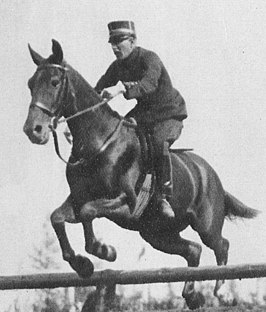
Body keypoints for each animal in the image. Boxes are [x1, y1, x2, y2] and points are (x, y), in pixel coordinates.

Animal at [23, 39, 260, 310]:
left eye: (54, 81)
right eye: (31, 84)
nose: (33, 130)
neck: (99, 143)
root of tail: (209, 173)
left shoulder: (126, 203)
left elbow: (88, 212)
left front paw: (104, 251)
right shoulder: (78, 199)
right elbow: (58, 218)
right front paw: (82, 264)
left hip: (205, 223)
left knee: (220, 245)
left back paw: (221, 293)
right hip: (156, 233)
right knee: (193, 250)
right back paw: (191, 295)